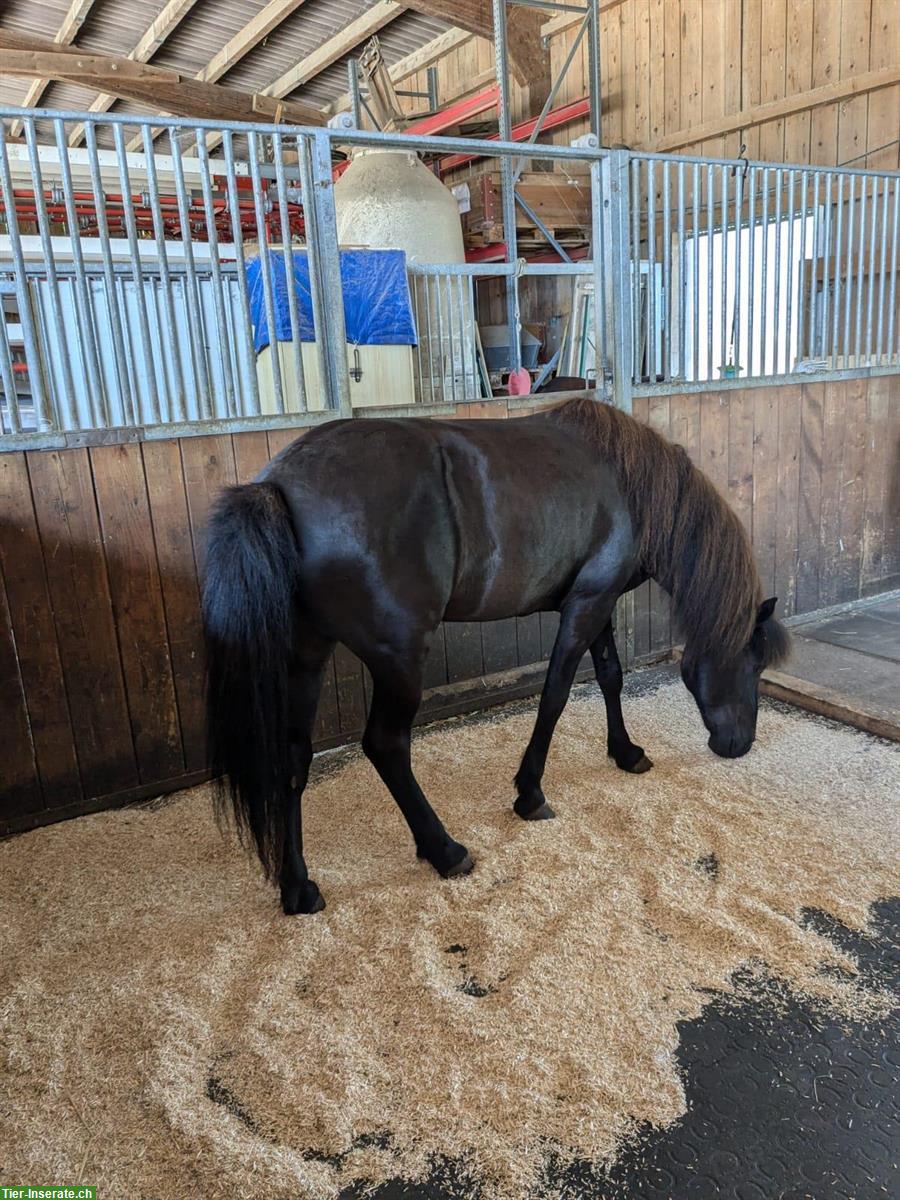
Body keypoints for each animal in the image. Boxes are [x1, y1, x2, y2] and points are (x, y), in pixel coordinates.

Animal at [202, 398, 787, 912]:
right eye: (752, 662)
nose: (740, 744)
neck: (634, 489)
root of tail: (279, 484)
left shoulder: (598, 601)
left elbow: (610, 675)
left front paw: (625, 753)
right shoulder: (587, 603)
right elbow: (555, 695)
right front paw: (530, 793)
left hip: (307, 653)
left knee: (292, 759)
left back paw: (299, 888)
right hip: (398, 660)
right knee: (386, 745)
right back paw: (445, 850)